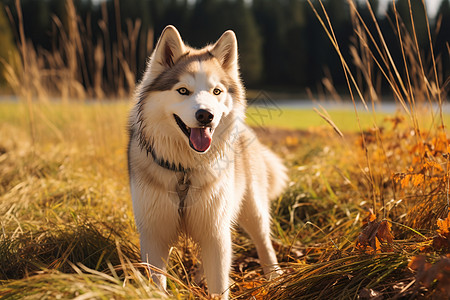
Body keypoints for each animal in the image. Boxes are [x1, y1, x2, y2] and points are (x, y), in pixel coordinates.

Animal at [128, 25, 286, 298]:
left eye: (217, 91)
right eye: (183, 90)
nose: (206, 115)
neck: (184, 170)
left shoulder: (215, 232)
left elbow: (219, 284)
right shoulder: (154, 234)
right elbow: (157, 281)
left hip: (252, 208)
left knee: (264, 243)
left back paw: (275, 278)